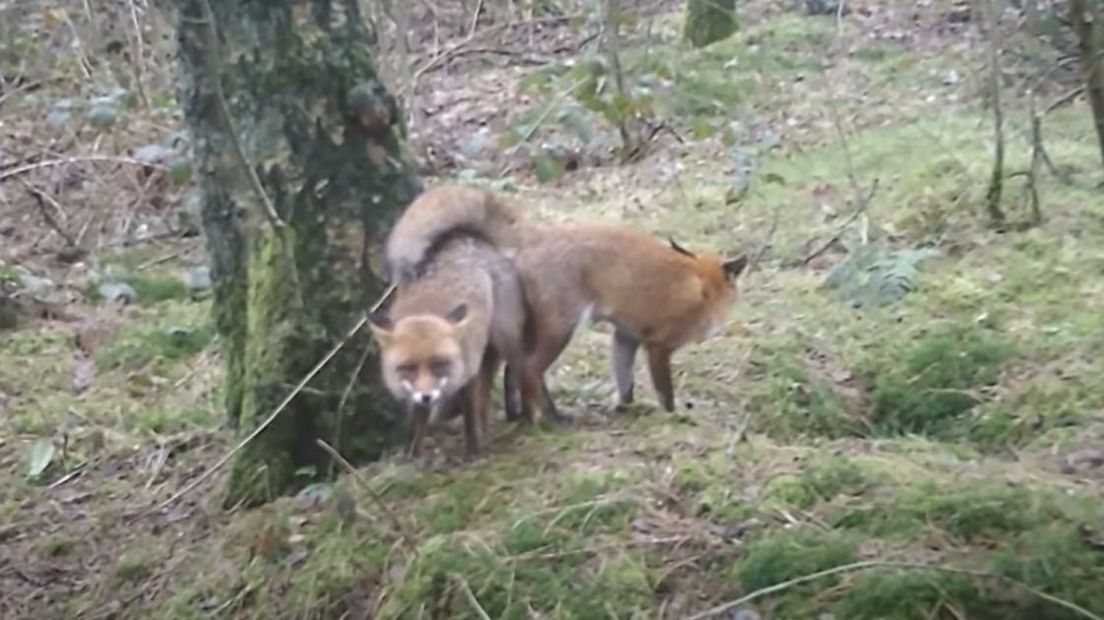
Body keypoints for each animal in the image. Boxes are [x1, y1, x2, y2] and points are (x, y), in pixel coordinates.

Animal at [366, 229, 534, 456]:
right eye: (408, 368)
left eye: (439, 364)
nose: (427, 396)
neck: (426, 308)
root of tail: (464, 239)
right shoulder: (414, 395)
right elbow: (416, 422)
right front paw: (412, 454)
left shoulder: (468, 372)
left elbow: (469, 415)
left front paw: (472, 451)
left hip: (503, 340)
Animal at [381, 180, 750, 417]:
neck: (702, 286)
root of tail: (538, 234)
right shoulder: (657, 345)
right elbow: (665, 393)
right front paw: (673, 418)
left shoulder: (626, 337)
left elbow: (624, 382)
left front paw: (624, 410)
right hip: (561, 328)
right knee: (530, 371)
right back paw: (551, 419)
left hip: (531, 326)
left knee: (513, 370)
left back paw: (520, 415)